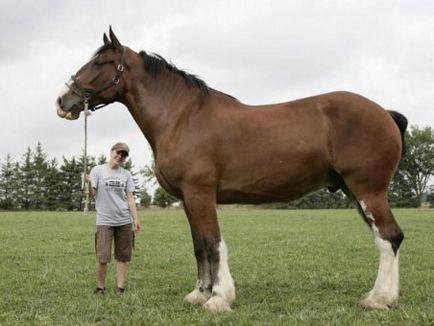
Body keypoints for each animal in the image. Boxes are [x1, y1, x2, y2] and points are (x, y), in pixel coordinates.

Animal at [56, 28, 406, 310]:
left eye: (99, 63)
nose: (63, 100)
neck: (181, 116)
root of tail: (384, 113)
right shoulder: (187, 199)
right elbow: (199, 245)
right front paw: (199, 293)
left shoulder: (200, 193)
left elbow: (213, 242)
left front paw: (219, 298)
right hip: (354, 191)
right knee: (385, 238)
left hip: (367, 190)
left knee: (389, 237)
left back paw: (379, 300)